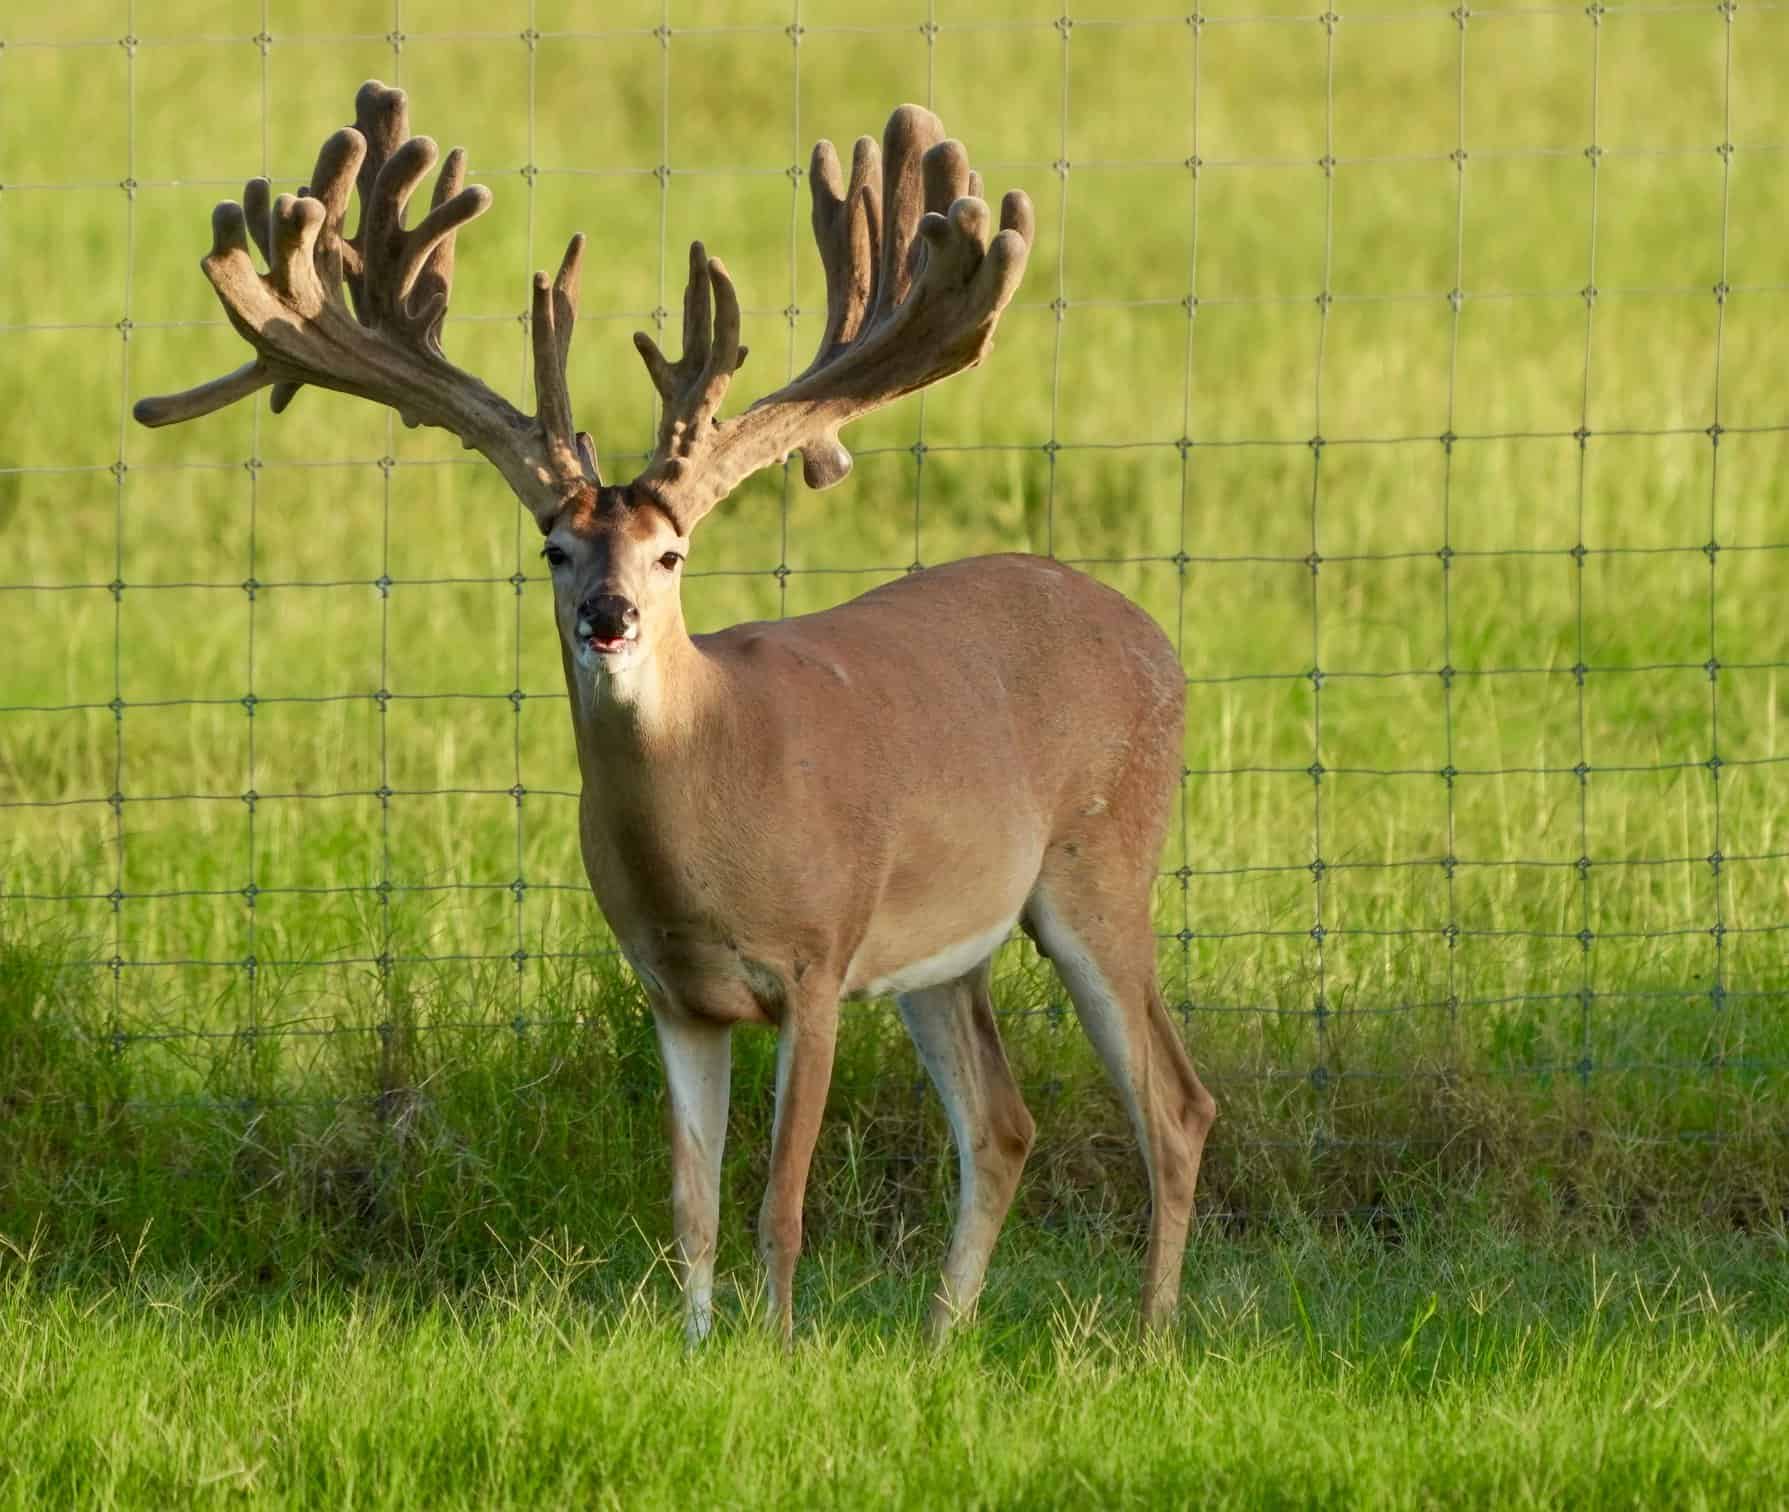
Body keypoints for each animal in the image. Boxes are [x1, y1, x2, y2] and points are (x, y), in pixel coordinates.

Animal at [134, 81, 1216, 1344]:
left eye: (671, 551)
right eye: (554, 549)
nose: (608, 617)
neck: (712, 812)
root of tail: (1155, 637)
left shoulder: (817, 956)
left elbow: (780, 1204)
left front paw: (779, 1351)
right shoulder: (670, 990)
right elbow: (690, 1204)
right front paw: (699, 1348)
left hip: (1103, 859)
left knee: (1174, 1100)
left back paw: (1147, 1341)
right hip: (947, 949)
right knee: (1002, 1122)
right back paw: (942, 1340)